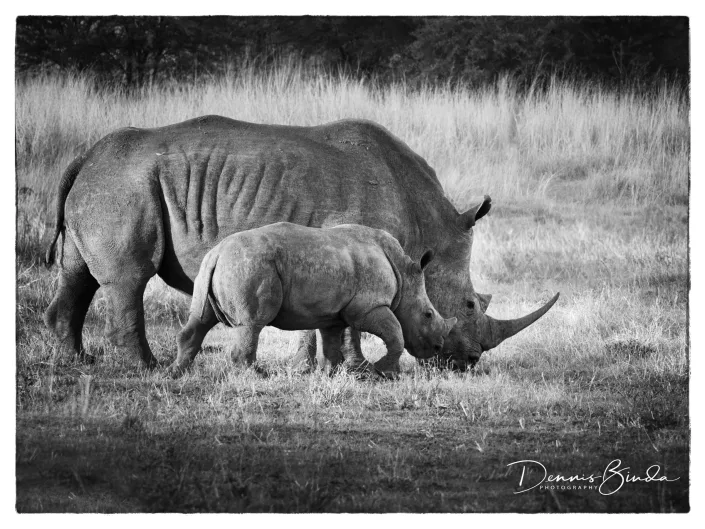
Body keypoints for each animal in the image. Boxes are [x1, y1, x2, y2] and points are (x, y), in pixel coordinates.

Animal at [168, 222, 457, 378]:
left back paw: (176, 372)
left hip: (216, 267)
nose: (438, 348)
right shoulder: (368, 307)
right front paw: (383, 373)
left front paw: (332, 373)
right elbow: (396, 333)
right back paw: (257, 375)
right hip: (250, 266)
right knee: (251, 324)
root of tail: (216, 252)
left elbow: (331, 342)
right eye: (428, 314)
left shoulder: (334, 313)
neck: (404, 274)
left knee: (201, 319)